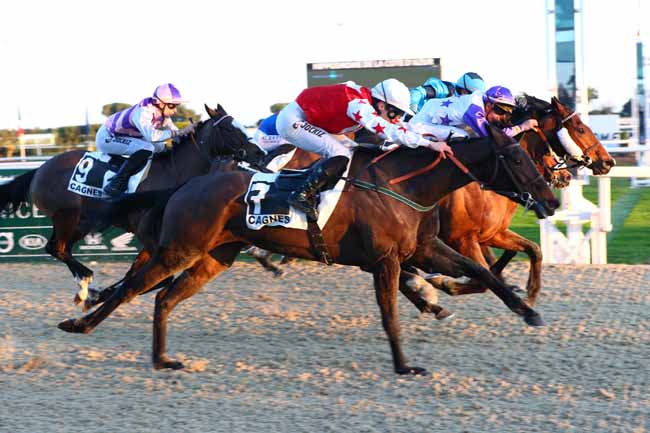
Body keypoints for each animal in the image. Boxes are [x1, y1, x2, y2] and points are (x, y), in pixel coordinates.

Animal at [0, 104, 264, 304]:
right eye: (230, 129)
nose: (260, 154)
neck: (174, 172)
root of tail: (39, 170)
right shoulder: (153, 238)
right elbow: (158, 278)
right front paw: (103, 295)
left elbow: (135, 275)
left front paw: (106, 294)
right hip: (67, 216)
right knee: (57, 248)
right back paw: (87, 283)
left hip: (83, 222)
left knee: (59, 248)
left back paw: (88, 288)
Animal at [58, 123, 560, 372]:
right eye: (515, 157)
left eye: (529, 154)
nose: (552, 199)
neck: (404, 185)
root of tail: (185, 185)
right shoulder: (386, 261)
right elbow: (390, 315)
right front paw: (404, 366)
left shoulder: (424, 249)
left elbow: (484, 273)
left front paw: (529, 311)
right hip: (180, 249)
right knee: (132, 289)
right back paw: (81, 322)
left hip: (213, 258)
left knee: (162, 297)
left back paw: (162, 358)